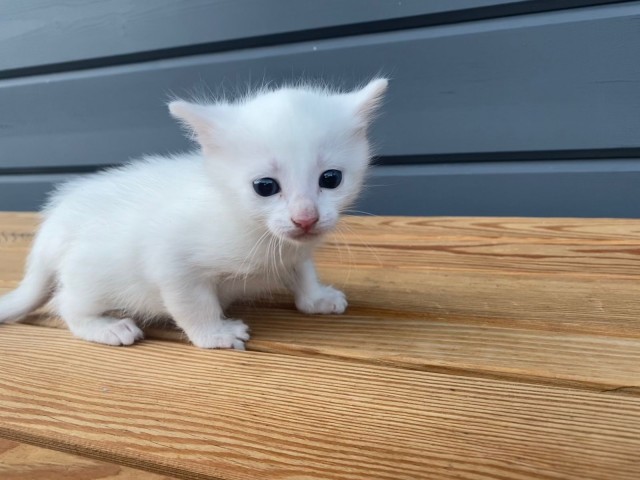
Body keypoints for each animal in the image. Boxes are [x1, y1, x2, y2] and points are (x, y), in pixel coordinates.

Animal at [0, 78, 388, 348]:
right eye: (264, 186)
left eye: (331, 179)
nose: (305, 218)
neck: (248, 225)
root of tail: (54, 224)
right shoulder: (172, 264)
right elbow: (193, 305)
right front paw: (214, 335)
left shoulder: (293, 249)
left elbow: (302, 269)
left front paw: (316, 298)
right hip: (91, 274)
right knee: (67, 303)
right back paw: (104, 326)